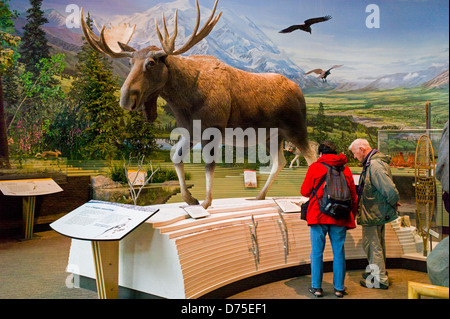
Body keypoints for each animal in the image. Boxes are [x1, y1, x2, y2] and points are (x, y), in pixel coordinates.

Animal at [81, 0, 314, 210]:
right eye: (130, 62)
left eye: (151, 63)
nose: (126, 98)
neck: (184, 99)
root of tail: (300, 93)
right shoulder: (190, 132)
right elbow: (175, 157)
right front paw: (190, 199)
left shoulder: (212, 131)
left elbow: (209, 165)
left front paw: (206, 203)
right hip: (271, 136)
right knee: (279, 162)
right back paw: (259, 196)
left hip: (295, 128)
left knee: (311, 156)